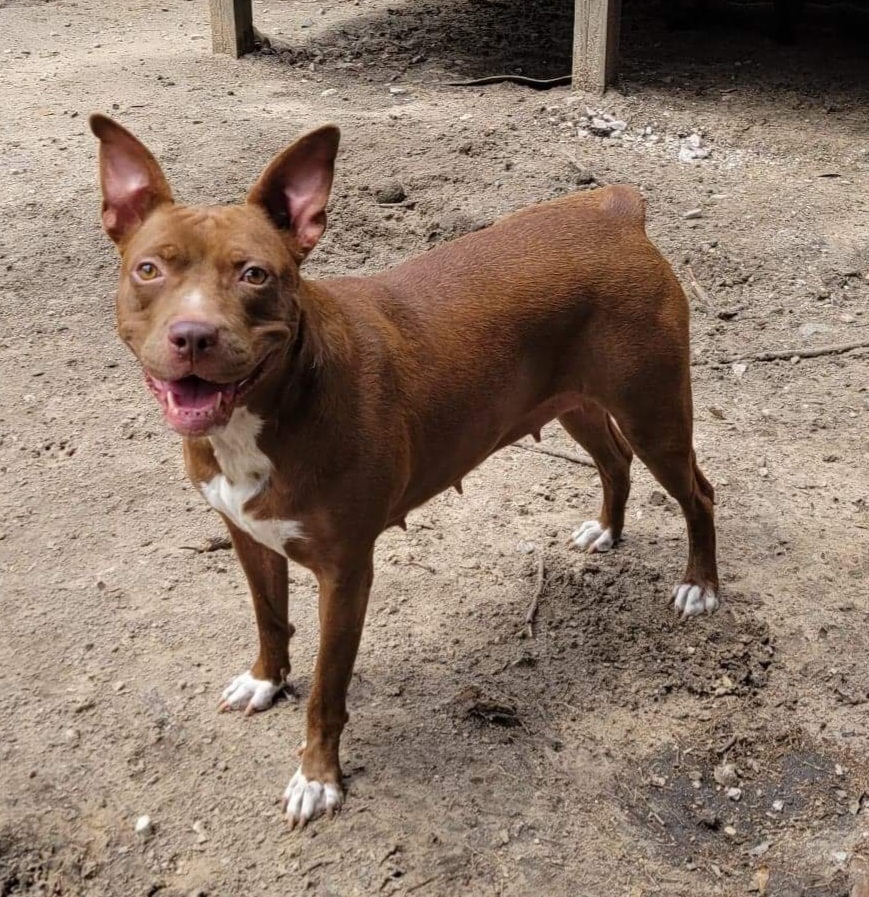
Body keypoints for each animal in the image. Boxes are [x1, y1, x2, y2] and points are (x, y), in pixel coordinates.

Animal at [90, 115, 720, 828]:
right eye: (148, 270)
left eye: (254, 275)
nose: (193, 335)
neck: (274, 406)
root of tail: (614, 210)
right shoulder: (249, 538)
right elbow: (270, 619)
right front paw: (266, 680)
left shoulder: (345, 574)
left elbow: (328, 688)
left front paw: (318, 777)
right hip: (574, 403)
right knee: (614, 461)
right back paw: (607, 531)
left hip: (653, 413)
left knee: (699, 494)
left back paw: (699, 586)